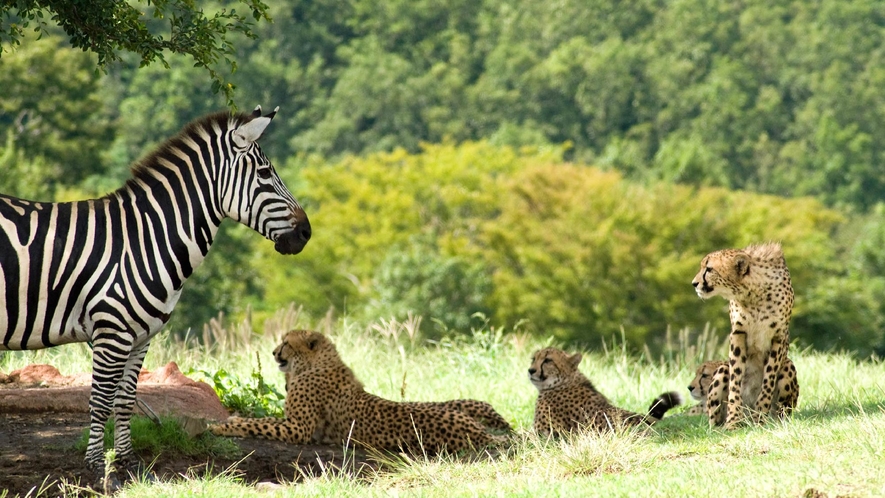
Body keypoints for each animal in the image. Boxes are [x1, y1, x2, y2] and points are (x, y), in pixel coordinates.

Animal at [0, 105, 310, 486]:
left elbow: (125, 400)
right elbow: (101, 400)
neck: (146, 238)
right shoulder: (111, 332)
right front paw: (99, 469)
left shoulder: (140, 336)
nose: (307, 232)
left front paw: (129, 464)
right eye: (266, 174)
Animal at [209, 330, 512, 456]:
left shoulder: (299, 428)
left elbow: (260, 423)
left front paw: (223, 427)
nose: (273, 352)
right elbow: (265, 420)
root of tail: (480, 433)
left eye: (286, 343)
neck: (312, 363)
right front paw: (231, 420)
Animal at [692, 242, 796, 428]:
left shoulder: (779, 337)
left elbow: (768, 380)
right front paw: (733, 420)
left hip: (788, 366)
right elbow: (735, 380)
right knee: (713, 420)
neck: (754, 294)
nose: (694, 283)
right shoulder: (738, 334)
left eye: (709, 269)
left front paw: (760, 416)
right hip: (721, 370)